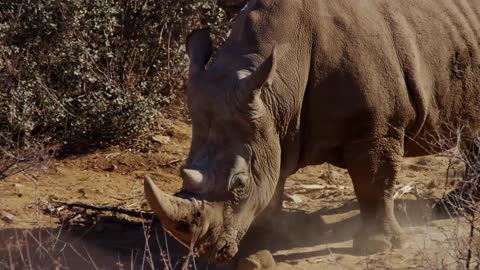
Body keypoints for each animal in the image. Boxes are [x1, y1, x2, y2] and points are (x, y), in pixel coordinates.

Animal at [143, 0, 480, 266]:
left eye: (239, 184)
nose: (206, 251)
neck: (276, 87)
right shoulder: (271, 127)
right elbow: (271, 187)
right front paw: (257, 252)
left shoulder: (377, 128)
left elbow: (375, 183)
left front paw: (377, 246)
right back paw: (452, 206)